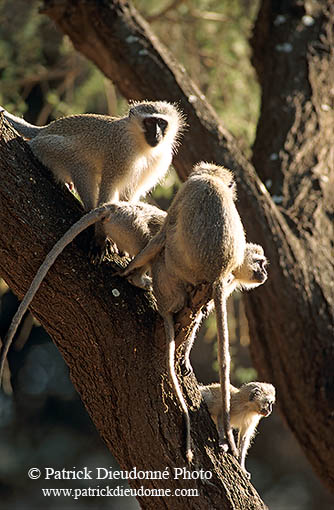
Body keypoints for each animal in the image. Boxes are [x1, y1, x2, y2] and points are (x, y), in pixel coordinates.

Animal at [1, 100, 185, 258]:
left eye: (161, 123)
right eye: (150, 122)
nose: (157, 134)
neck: (143, 146)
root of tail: (44, 129)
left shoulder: (161, 159)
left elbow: (128, 196)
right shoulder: (120, 152)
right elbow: (108, 187)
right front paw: (101, 236)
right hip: (47, 147)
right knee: (79, 162)